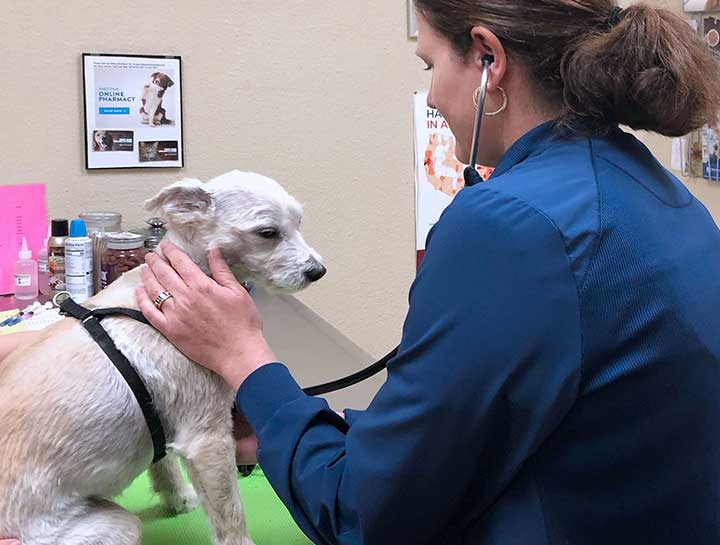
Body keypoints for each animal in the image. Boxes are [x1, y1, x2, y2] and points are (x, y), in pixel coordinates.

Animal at [0, 171, 326, 544]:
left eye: (299, 222)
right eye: (267, 233)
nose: (317, 271)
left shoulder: (161, 418)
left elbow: (164, 462)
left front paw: (178, 497)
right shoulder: (207, 441)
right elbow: (230, 517)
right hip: (101, 527)